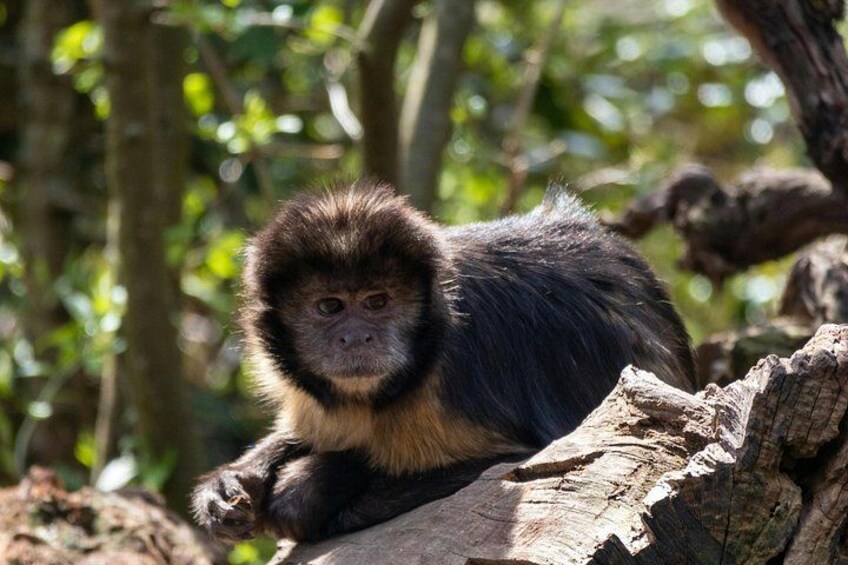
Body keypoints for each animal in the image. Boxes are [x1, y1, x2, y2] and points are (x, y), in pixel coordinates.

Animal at [191, 180, 694, 544]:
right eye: (329, 307)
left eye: (377, 302)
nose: (357, 336)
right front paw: (236, 479)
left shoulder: (459, 374)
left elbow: (527, 461)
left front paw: (313, 488)